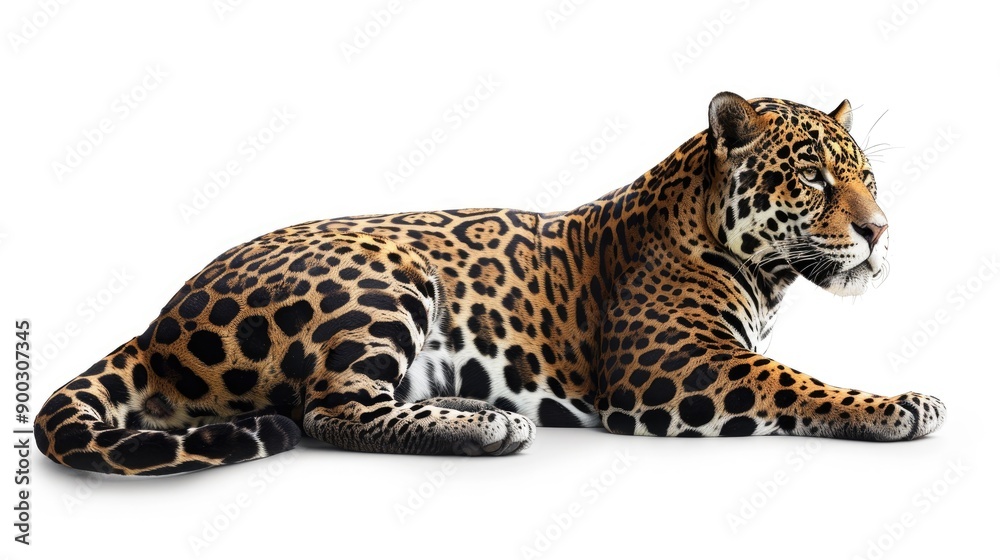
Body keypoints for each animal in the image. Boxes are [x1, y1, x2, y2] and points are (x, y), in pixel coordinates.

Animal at [34, 92, 946, 475]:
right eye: (814, 179)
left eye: (867, 176)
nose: (880, 231)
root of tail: (154, 325)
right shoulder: (674, 370)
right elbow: (798, 384)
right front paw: (898, 406)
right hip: (383, 273)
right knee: (328, 413)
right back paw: (486, 430)